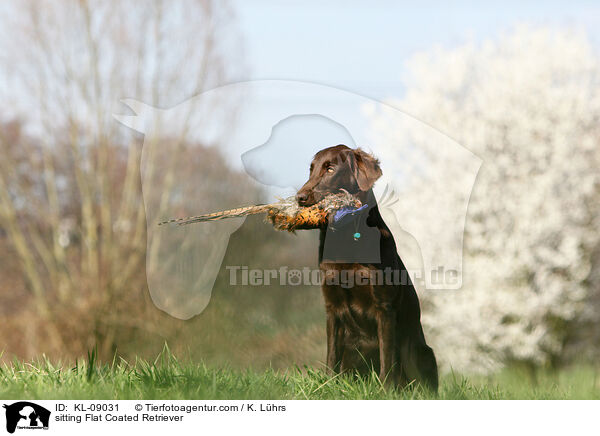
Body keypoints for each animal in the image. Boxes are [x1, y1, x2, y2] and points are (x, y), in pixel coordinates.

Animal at [298, 145, 438, 390]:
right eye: (311, 170)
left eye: (330, 169)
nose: (300, 197)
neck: (346, 240)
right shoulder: (332, 306)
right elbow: (331, 355)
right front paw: (329, 385)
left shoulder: (384, 306)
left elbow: (386, 356)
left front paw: (385, 390)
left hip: (422, 351)